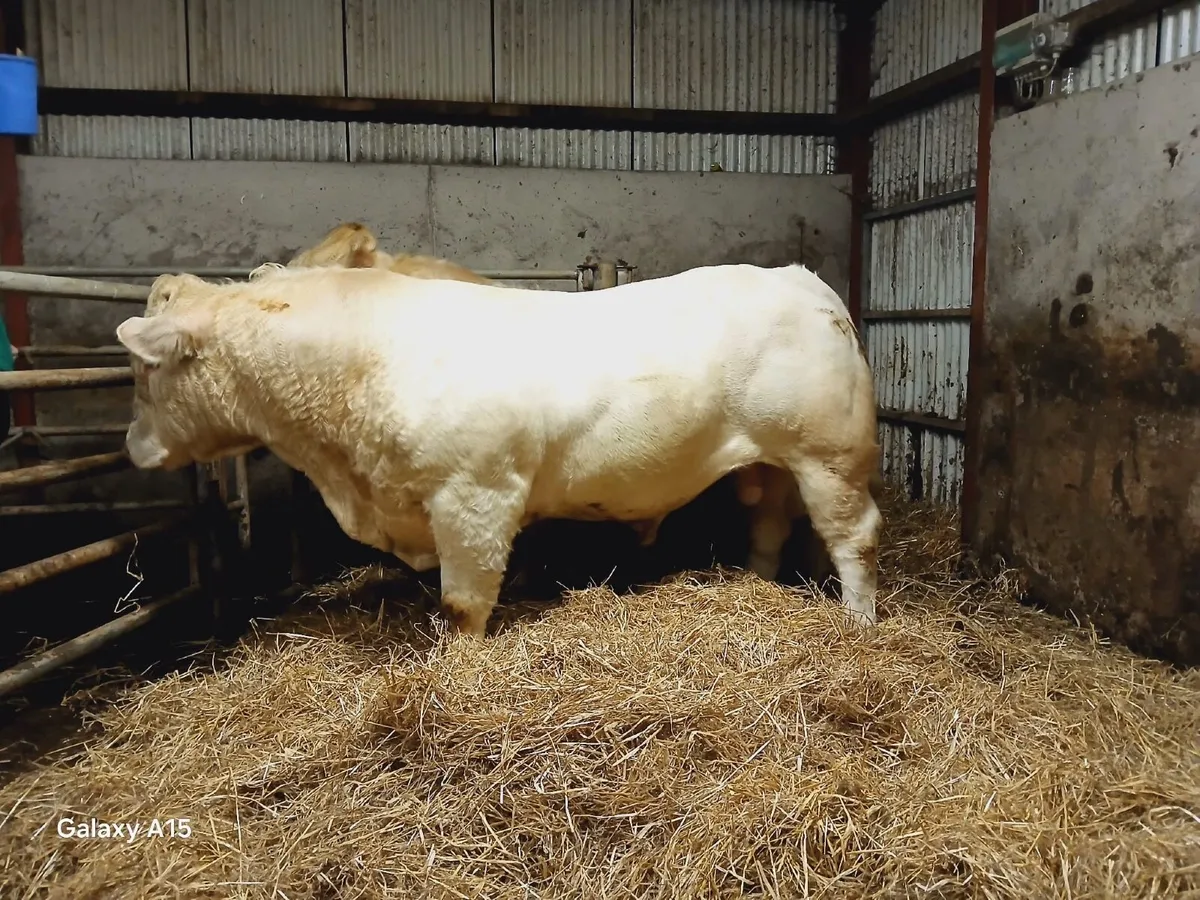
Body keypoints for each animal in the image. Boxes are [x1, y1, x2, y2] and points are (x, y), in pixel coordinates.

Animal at [115, 262, 881, 637]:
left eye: (143, 373)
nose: (130, 447)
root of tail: (797, 277)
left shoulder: (474, 495)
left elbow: (463, 604)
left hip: (830, 453)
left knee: (856, 537)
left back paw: (859, 622)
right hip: (774, 461)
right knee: (770, 527)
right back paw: (759, 585)